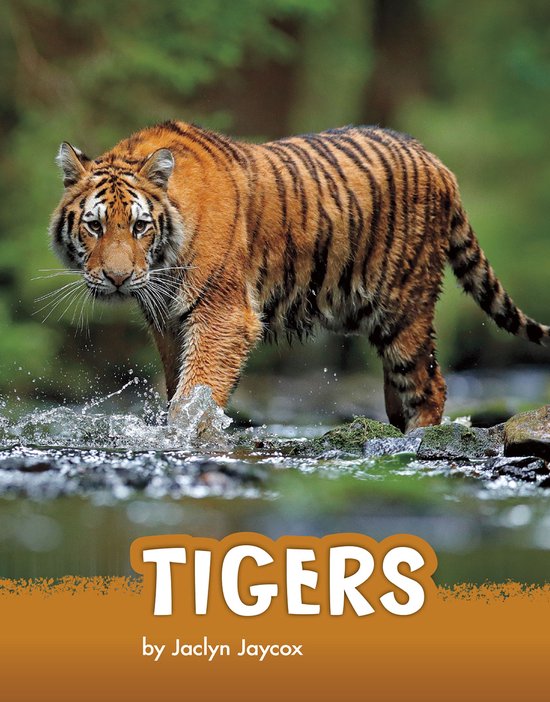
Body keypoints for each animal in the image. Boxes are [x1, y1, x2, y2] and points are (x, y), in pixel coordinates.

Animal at [49, 120, 549, 432]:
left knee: (429, 386)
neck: (163, 262)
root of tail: (438, 162)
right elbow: (179, 387)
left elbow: (196, 391)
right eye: (94, 225)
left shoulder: (223, 315)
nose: (117, 278)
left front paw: (185, 434)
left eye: (139, 226)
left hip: (404, 307)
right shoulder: (169, 322)